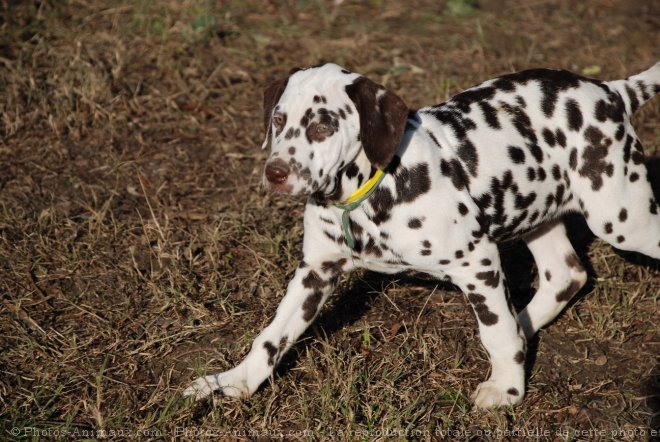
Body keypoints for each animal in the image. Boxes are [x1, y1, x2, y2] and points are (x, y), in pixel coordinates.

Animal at [186, 62, 660, 408]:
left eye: (322, 127)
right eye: (279, 120)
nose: (275, 173)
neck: (368, 195)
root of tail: (611, 91)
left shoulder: (478, 262)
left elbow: (495, 332)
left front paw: (506, 390)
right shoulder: (315, 272)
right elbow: (272, 336)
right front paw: (232, 383)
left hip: (621, 218)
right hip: (538, 212)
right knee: (566, 274)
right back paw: (525, 327)